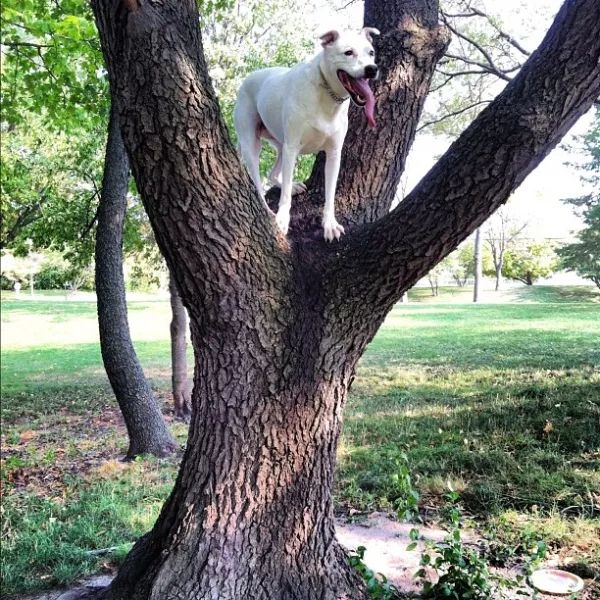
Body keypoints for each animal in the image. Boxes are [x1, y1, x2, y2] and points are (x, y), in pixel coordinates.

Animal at [232, 27, 378, 239]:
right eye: (348, 52)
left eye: (371, 53)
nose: (372, 69)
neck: (326, 94)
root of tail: (247, 80)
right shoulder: (293, 147)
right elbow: (284, 195)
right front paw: (282, 219)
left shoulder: (334, 153)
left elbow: (330, 193)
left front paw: (330, 224)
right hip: (253, 143)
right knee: (258, 182)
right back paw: (269, 211)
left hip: (281, 145)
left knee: (272, 173)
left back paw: (293, 186)